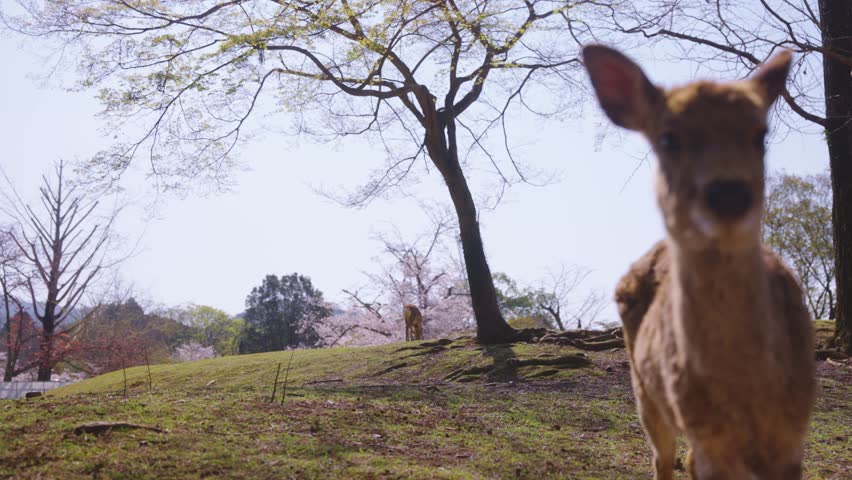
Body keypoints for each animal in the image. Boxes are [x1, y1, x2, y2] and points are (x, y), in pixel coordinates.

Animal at [582, 45, 816, 480]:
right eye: (668, 138)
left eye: (761, 135)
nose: (728, 194)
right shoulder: (708, 437)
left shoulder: (793, 439)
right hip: (645, 391)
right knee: (661, 457)